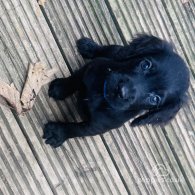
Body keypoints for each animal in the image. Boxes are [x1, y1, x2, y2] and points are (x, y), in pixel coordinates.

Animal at [42, 34, 189, 147]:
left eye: (154, 99)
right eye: (145, 64)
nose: (122, 91)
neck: (101, 95)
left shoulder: (96, 127)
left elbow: (77, 129)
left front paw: (58, 133)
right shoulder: (90, 68)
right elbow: (75, 79)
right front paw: (61, 88)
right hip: (116, 53)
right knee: (114, 50)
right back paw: (89, 47)